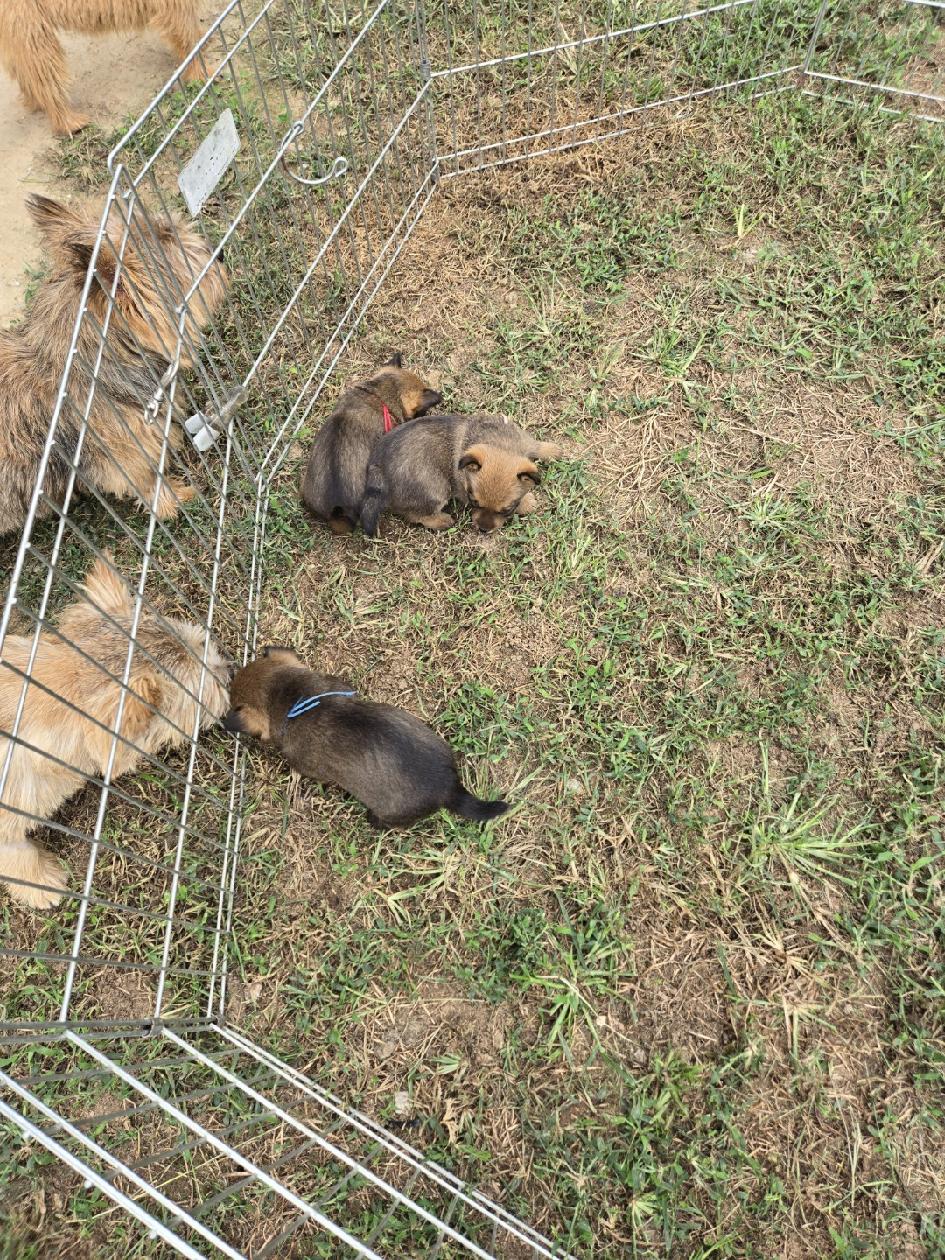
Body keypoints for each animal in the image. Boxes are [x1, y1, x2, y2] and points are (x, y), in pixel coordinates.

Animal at [0, 0, 205, 135]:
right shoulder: (175, 6)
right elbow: (188, 37)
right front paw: (200, 75)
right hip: (32, 32)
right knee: (47, 80)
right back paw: (70, 122)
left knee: (28, 76)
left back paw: (35, 102)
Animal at [359, 412, 563, 535]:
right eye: (474, 502)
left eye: (506, 510)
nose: (483, 529)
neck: (501, 446)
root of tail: (378, 469)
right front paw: (527, 502)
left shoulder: (522, 440)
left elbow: (535, 445)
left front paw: (553, 450)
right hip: (436, 490)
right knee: (416, 515)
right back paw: (442, 520)